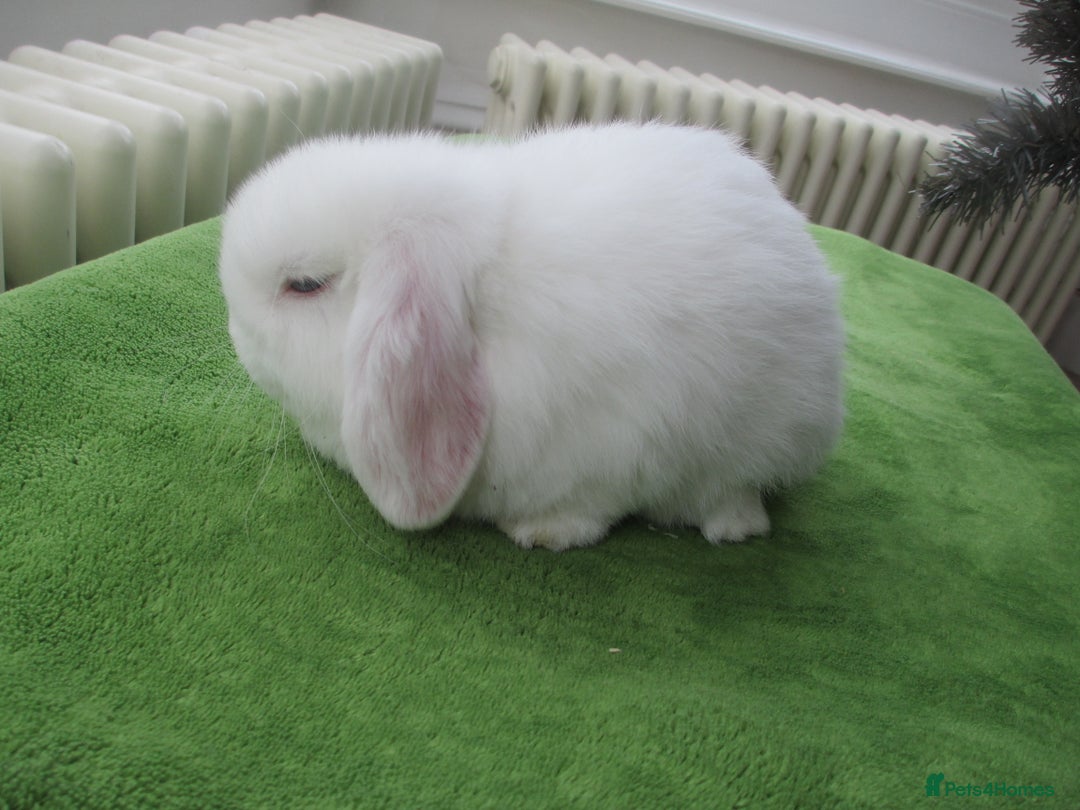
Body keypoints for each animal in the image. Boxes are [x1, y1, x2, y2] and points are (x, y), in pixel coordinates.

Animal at [218, 122, 844, 551]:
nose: (234, 328)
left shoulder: (615, 445)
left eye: (304, 284)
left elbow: (588, 506)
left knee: (739, 494)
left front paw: (543, 533)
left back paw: (730, 524)